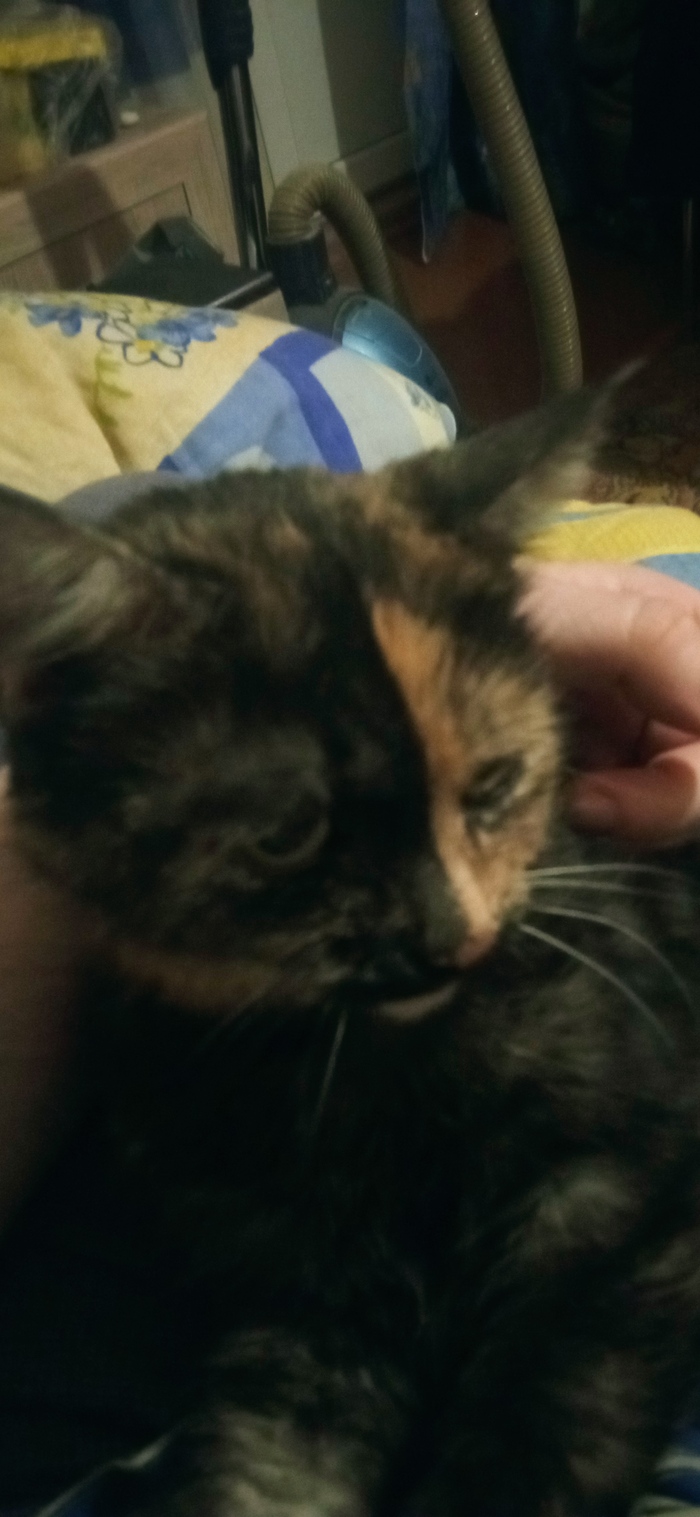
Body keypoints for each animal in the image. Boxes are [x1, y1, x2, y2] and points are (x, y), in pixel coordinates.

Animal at [2, 386, 700, 1517]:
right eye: (289, 834)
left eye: (494, 784)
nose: (449, 933)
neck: (376, 1079)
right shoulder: (293, 1297)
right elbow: (262, 1469)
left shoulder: (615, 1207)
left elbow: (535, 1431)